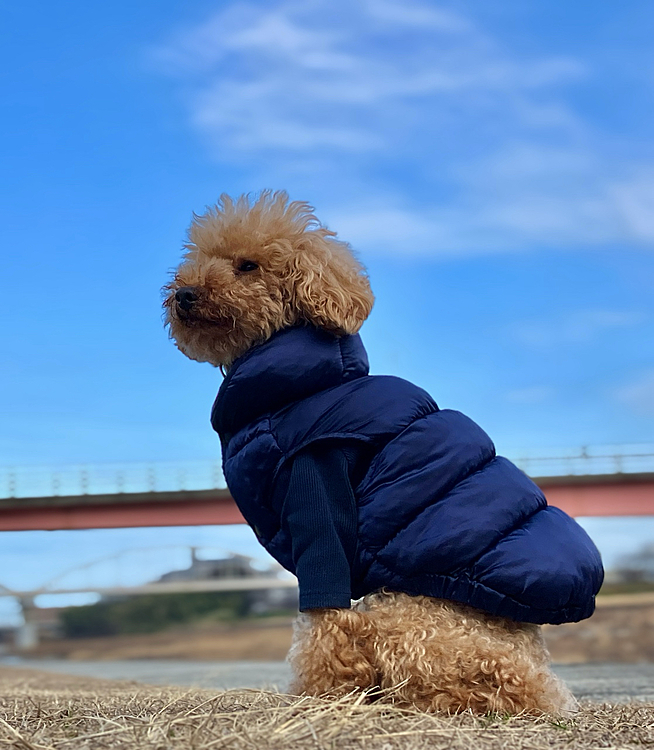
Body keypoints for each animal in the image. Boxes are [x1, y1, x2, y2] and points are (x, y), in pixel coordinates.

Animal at [164, 189, 604, 716]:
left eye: (247, 266)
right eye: (196, 260)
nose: (184, 294)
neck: (296, 379)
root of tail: (548, 683)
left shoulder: (317, 485)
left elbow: (324, 615)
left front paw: (323, 695)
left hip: (407, 614)